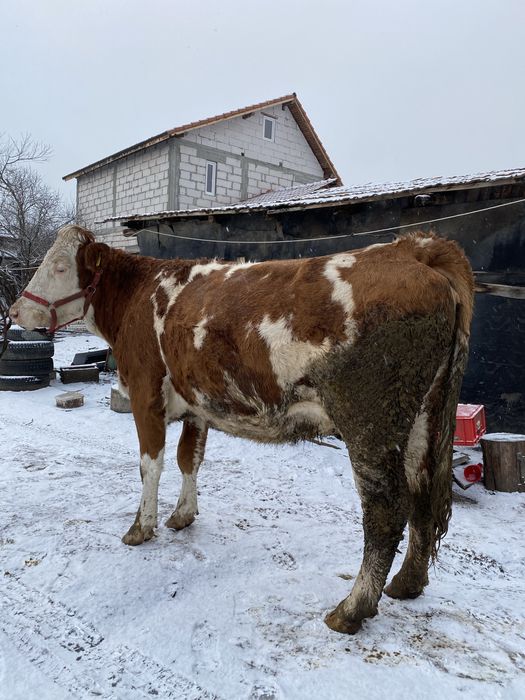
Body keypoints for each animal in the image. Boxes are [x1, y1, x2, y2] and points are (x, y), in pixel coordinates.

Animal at [9, 225, 474, 634]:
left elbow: (150, 464)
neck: (139, 296)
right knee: (422, 494)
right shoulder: (196, 404)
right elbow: (189, 459)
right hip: (423, 418)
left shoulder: (144, 392)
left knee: (385, 511)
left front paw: (141, 528)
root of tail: (411, 249)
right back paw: (407, 583)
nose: (13, 311)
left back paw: (352, 609)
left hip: (371, 422)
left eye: (58, 267)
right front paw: (183, 515)